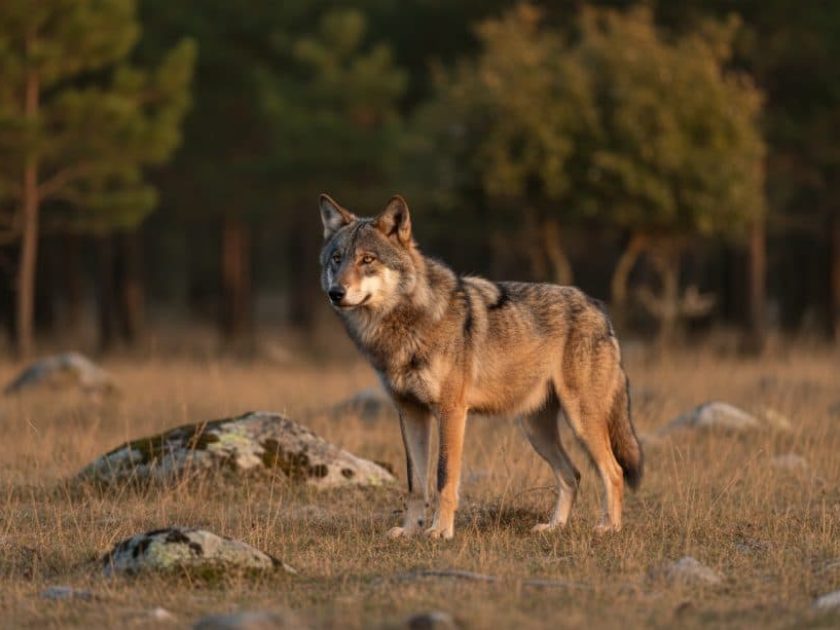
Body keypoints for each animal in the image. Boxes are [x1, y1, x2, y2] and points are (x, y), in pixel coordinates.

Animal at [318, 194, 643, 539]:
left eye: (367, 260)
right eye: (337, 259)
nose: (335, 293)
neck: (405, 325)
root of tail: (599, 308)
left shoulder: (451, 411)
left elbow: (444, 476)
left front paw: (440, 531)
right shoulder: (410, 412)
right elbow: (416, 484)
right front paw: (409, 531)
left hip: (581, 421)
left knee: (614, 471)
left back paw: (610, 527)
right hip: (536, 431)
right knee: (573, 474)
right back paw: (554, 526)